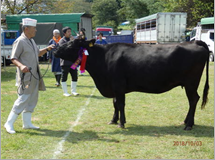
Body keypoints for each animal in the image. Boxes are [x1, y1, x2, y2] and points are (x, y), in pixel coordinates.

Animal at [53, 39, 208, 130]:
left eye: (72, 44)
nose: (55, 50)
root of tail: (194, 42)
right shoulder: (114, 87)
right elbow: (115, 103)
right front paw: (113, 120)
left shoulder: (118, 85)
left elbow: (120, 104)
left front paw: (121, 123)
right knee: (193, 100)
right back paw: (187, 122)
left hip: (191, 83)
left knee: (193, 100)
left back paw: (188, 125)